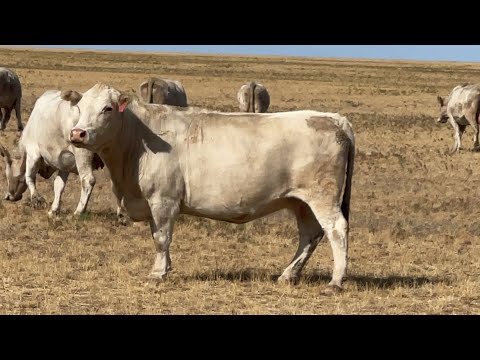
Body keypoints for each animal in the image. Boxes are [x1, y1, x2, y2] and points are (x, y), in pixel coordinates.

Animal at [64, 83, 356, 292]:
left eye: (107, 109)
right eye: (79, 108)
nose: (77, 133)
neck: (137, 138)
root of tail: (333, 118)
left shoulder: (164, 200)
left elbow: (161, 238)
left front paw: (157, 273)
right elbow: (158, 237)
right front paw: (166, 267)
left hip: (322, 196)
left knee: (336, 230)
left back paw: (335, 281)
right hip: (301, 202)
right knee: (310, 235)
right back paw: (288, 274)